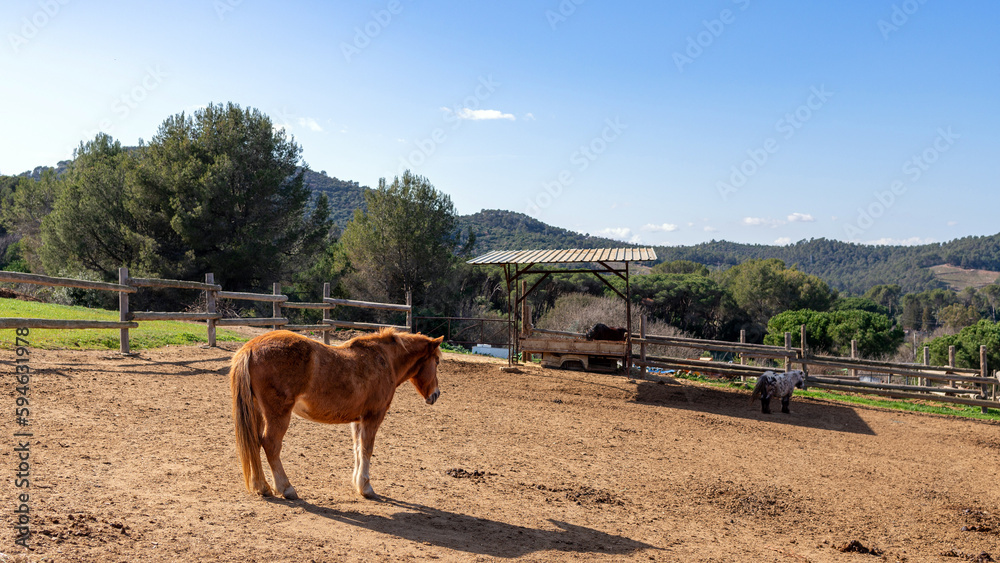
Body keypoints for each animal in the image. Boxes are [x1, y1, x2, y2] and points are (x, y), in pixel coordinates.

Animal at [229, 328, 443, 500]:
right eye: (437, 361)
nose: (436, 394)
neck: (384, 360)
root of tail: (250, 348)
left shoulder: (358, 420)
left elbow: (358, 449)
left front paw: (358, 483)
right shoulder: (373, 416)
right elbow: (367, 449)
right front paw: (366, 488)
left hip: (256, 412)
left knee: (255, 443)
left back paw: (262, 486)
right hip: (278, 415)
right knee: (270, 444)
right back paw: (286, 488)